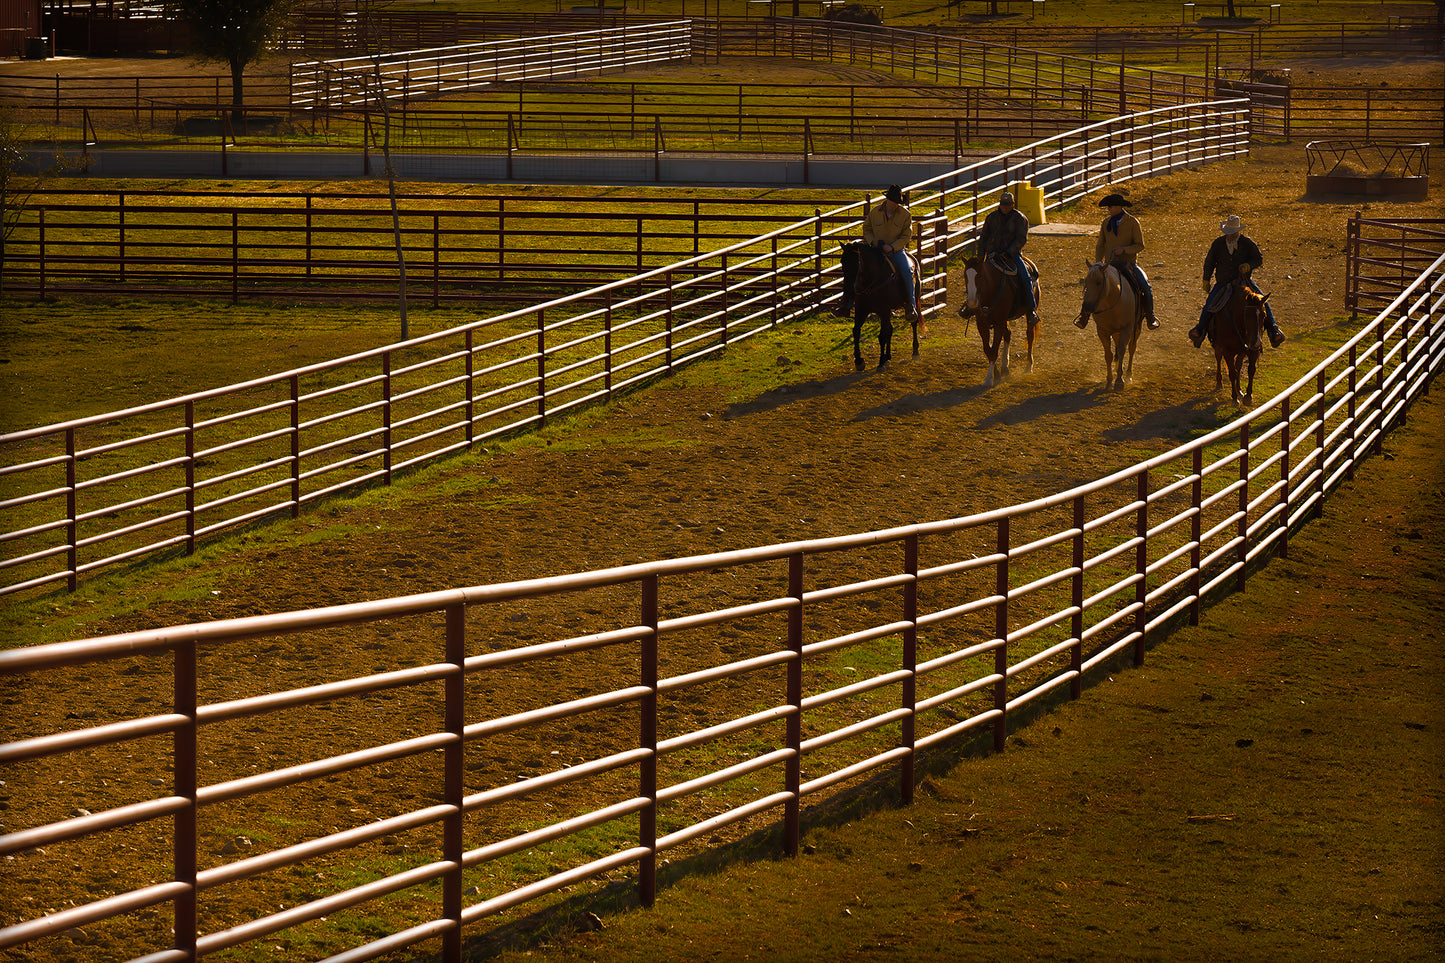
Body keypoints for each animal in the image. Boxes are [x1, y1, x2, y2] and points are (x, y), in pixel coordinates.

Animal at [959, 257, 1040, 393]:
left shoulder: (998, 324)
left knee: (1029, 335)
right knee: (1008, 334)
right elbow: (988, 350)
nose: (971, 302)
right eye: (965, 276)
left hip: (1029, 312)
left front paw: (989, 379)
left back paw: (1029, 366)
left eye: (980, 276)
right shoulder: (981, 324)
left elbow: (994, 350)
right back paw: (1005, 367)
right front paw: (996, 375)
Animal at [1080, 258, 1144, 390]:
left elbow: (1122, 350)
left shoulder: (1126, 329)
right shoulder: (1102, 330)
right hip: (1115, 332)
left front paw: (1119, 381)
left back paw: (1128, 374)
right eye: (1086, 282)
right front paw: (1109, 380)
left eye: (1099, 282)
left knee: (1131, 348)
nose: (1087, 307)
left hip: (1136, 328)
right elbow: (1108, 354)